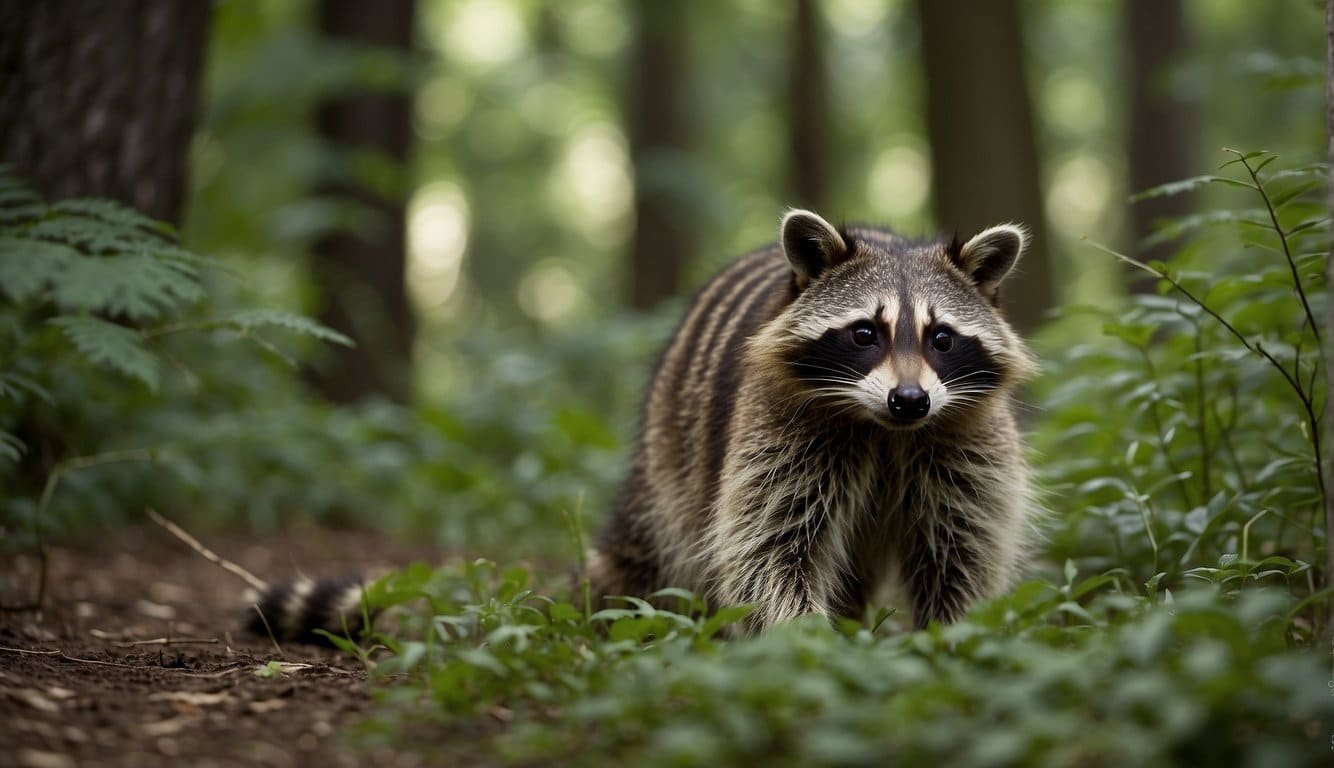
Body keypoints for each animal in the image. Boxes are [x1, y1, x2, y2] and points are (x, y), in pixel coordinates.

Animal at [586, 208, 1040, 629]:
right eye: (865, 333)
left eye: (942, 338)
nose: (910, 401)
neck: (886, 432)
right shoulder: (779, 433)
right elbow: (769, 550)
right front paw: (808, 633)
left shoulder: (969, 445)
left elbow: (962, 551)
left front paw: (948, 632)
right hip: (673, 448)